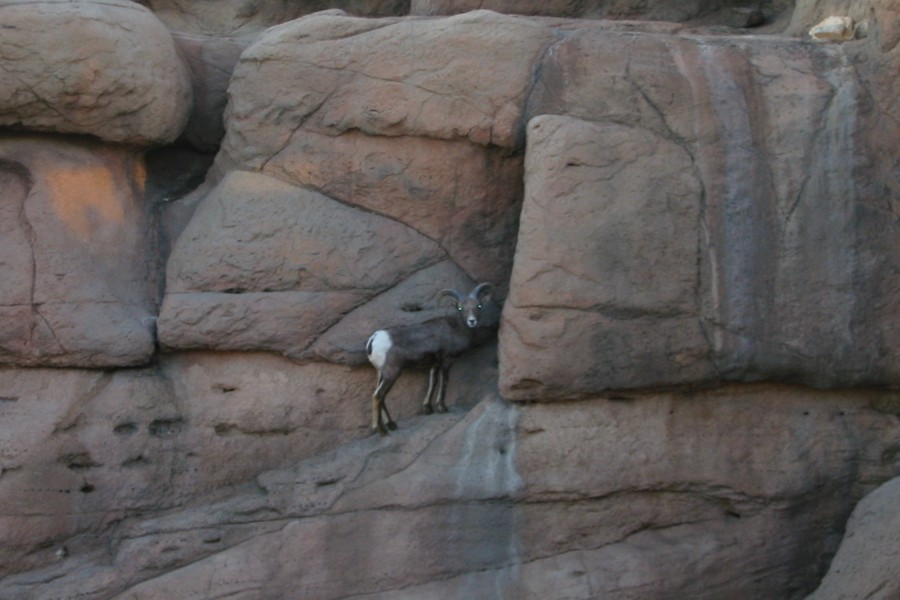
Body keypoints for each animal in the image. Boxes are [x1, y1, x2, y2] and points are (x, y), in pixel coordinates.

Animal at [365, 282, 498, 436]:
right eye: (460, 308)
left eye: (479, 306)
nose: (472, 321)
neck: (456, 329)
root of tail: (374, 339)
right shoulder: (446, 361)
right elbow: (444, 381)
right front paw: (442, 408)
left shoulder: (434, 364)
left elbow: (432, 382)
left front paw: (427, 409)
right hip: (392, 372)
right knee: (378, 396)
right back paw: (381, 430)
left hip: (381, 373)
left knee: (381, 396)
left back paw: (391, 425)